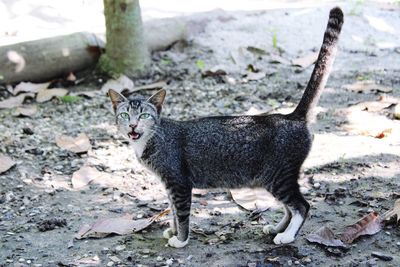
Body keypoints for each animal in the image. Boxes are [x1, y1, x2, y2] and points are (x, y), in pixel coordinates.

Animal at [107, 6, 344, 249]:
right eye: (125, 115)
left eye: (144, 115)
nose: (133, 124)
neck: (151, 139)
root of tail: (291, 116)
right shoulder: (169, 185)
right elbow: (172, 211)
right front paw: (172, 231)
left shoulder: (178, 183)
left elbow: (181, 214)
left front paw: (181, 239)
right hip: (276, 178)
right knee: (289, 207)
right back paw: (277, 229)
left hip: (279, 175)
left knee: (301, 206)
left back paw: (286, 236)